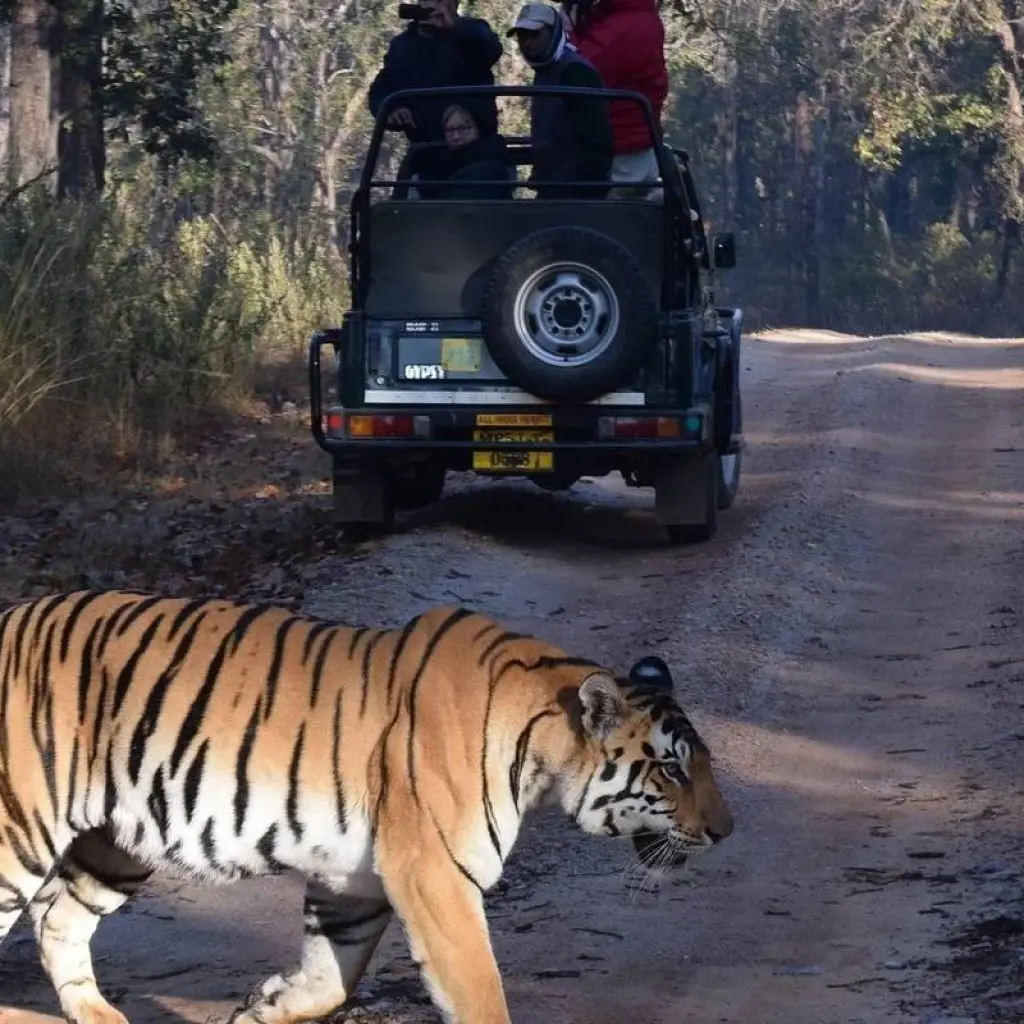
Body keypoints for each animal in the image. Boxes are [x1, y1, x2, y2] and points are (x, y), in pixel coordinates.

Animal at [0, 589, 733, 1024]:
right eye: (671, 769)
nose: (726, 831)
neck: (541, 741)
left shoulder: (352, 881)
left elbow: (333, 974)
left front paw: (265, 1005)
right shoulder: (436, 876)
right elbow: (480, 991)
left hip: (117, 844)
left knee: (60, 919)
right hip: (19, 834)